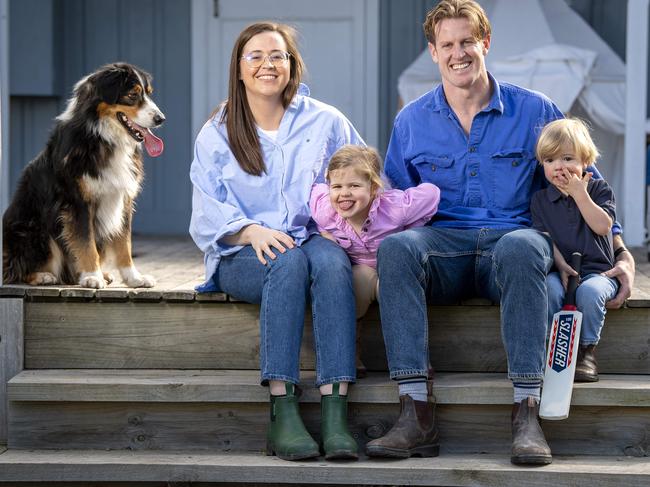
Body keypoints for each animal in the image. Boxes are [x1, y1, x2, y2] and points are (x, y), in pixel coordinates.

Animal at [3, 62, 165, 288]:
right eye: (132, 94)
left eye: (149, 94)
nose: (161, 119)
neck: (103, 138)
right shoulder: (77, 202)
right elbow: (86, 243)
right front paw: (92, 277)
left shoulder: (123, 199)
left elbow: (125, 244)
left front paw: (134, 278)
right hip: (35, 230)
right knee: (15, 269)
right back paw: (43, 276)